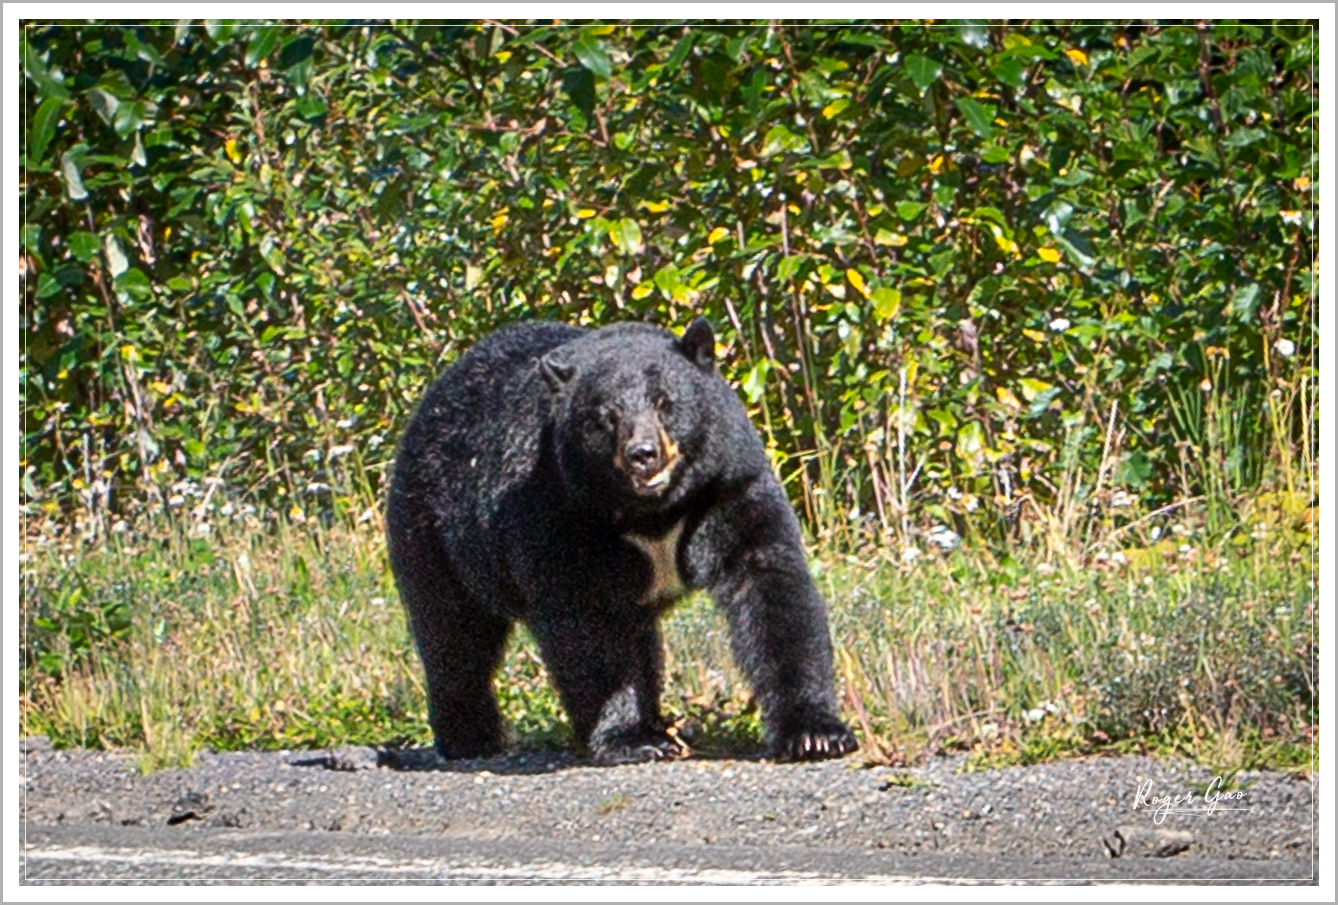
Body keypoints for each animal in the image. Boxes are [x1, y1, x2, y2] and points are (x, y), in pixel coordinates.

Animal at [385, 318, 856, 765]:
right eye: (605, 416)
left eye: (665, 402)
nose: (643, 453)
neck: (653, 513)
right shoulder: (559, 508)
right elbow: (586, 628)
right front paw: (630, 738)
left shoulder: (727, 488)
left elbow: (769, 590)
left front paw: (816, 733)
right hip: (432, 534)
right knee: (453, 634)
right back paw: (472, 736)